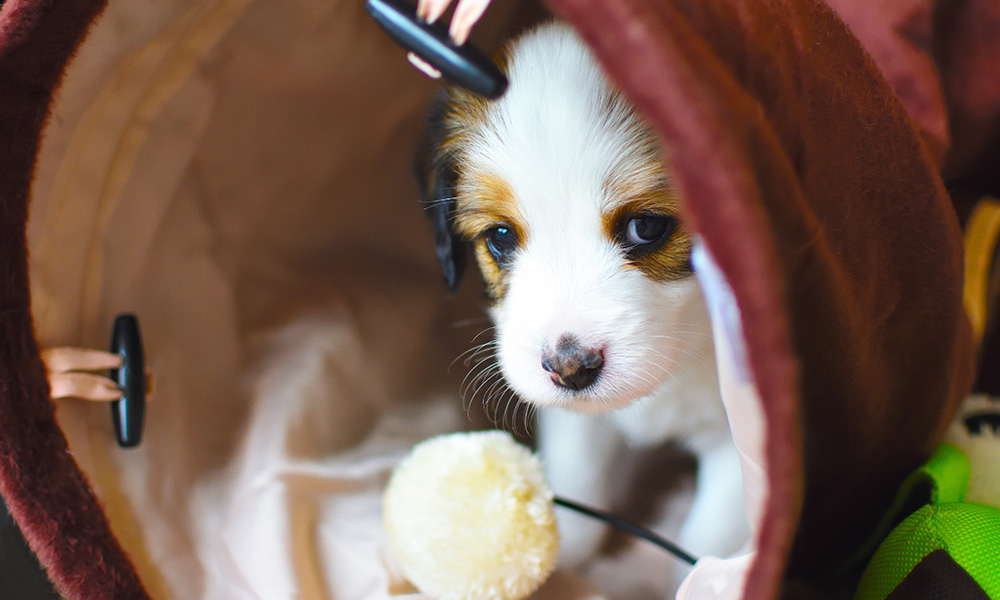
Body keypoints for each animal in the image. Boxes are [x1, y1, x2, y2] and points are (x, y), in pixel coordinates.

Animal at [416, 22, 752, 580]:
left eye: (647, 226)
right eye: (500, 237)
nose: (569, 368)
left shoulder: (739, 436)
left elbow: (711, 534)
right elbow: (579, 477)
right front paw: (560, 556)